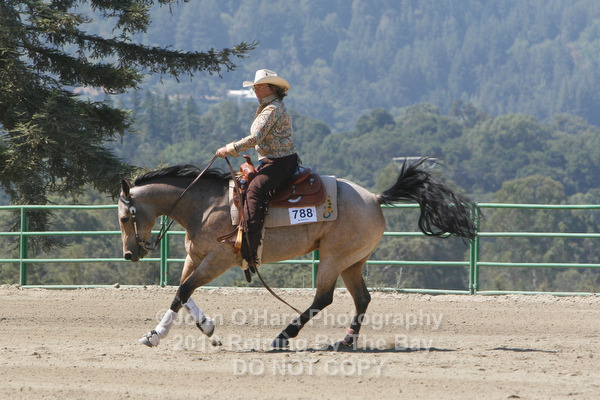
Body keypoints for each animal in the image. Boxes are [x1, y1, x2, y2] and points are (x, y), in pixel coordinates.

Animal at [118, 158, 476, 349]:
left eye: (123, 218)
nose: (129, 255)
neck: (206, 206)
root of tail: (375, 198)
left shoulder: (218, 260)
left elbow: (183, 290)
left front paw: (158, 335)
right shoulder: (195, 257)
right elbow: (183, 293)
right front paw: (200, 327)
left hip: (332, 259)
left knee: (323, 298)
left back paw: (283, 336)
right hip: (352, 263)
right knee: (362, 299)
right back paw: (345, 342)